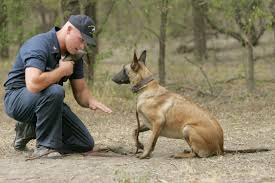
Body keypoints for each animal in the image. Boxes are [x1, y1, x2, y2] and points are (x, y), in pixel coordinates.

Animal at [112, 50, 270, 159]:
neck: (146, 88)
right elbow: (136, 132)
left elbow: (150, 140)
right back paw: (186, 150)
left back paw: (181, 155)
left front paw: (144, 154)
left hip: (187, 128)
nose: (112, 78)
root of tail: (221, 147)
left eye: (124, 69)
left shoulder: (157, 122)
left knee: (198, 154)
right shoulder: (149, 124)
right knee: (195, 151)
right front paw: (140, 145)